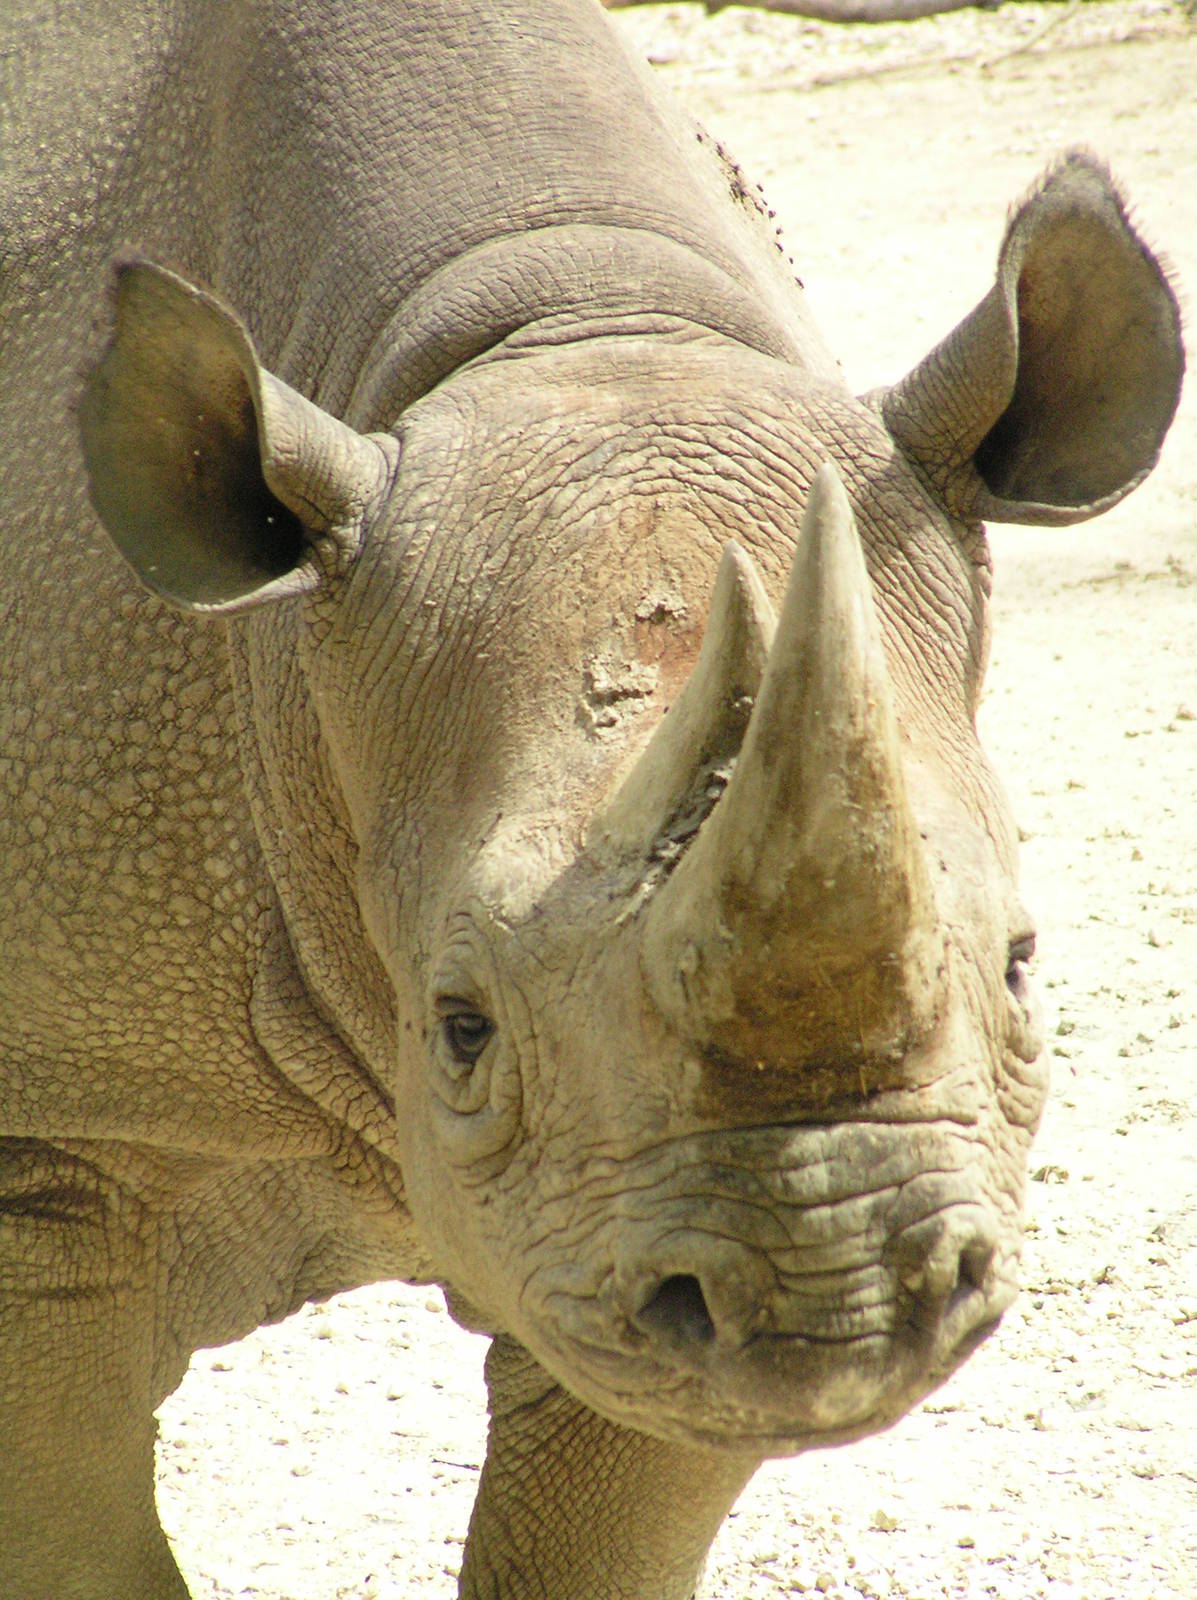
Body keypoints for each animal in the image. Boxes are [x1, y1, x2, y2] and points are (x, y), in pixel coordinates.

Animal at [0, 1, 1183, 1596]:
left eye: (1021, 967)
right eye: (459, 1025)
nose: (839, 1298)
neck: (569, 320)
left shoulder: (634, 1227)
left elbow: (595, 1525)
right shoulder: (60, 1138)